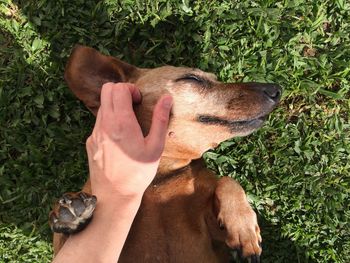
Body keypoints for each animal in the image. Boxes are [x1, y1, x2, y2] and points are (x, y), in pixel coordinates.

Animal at [49, 46, 280, 263]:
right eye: (192, 78)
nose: (276, 89)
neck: (157, 181)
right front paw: (70, 214)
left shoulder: (215, 236)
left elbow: (228, 180)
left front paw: (243, 227)